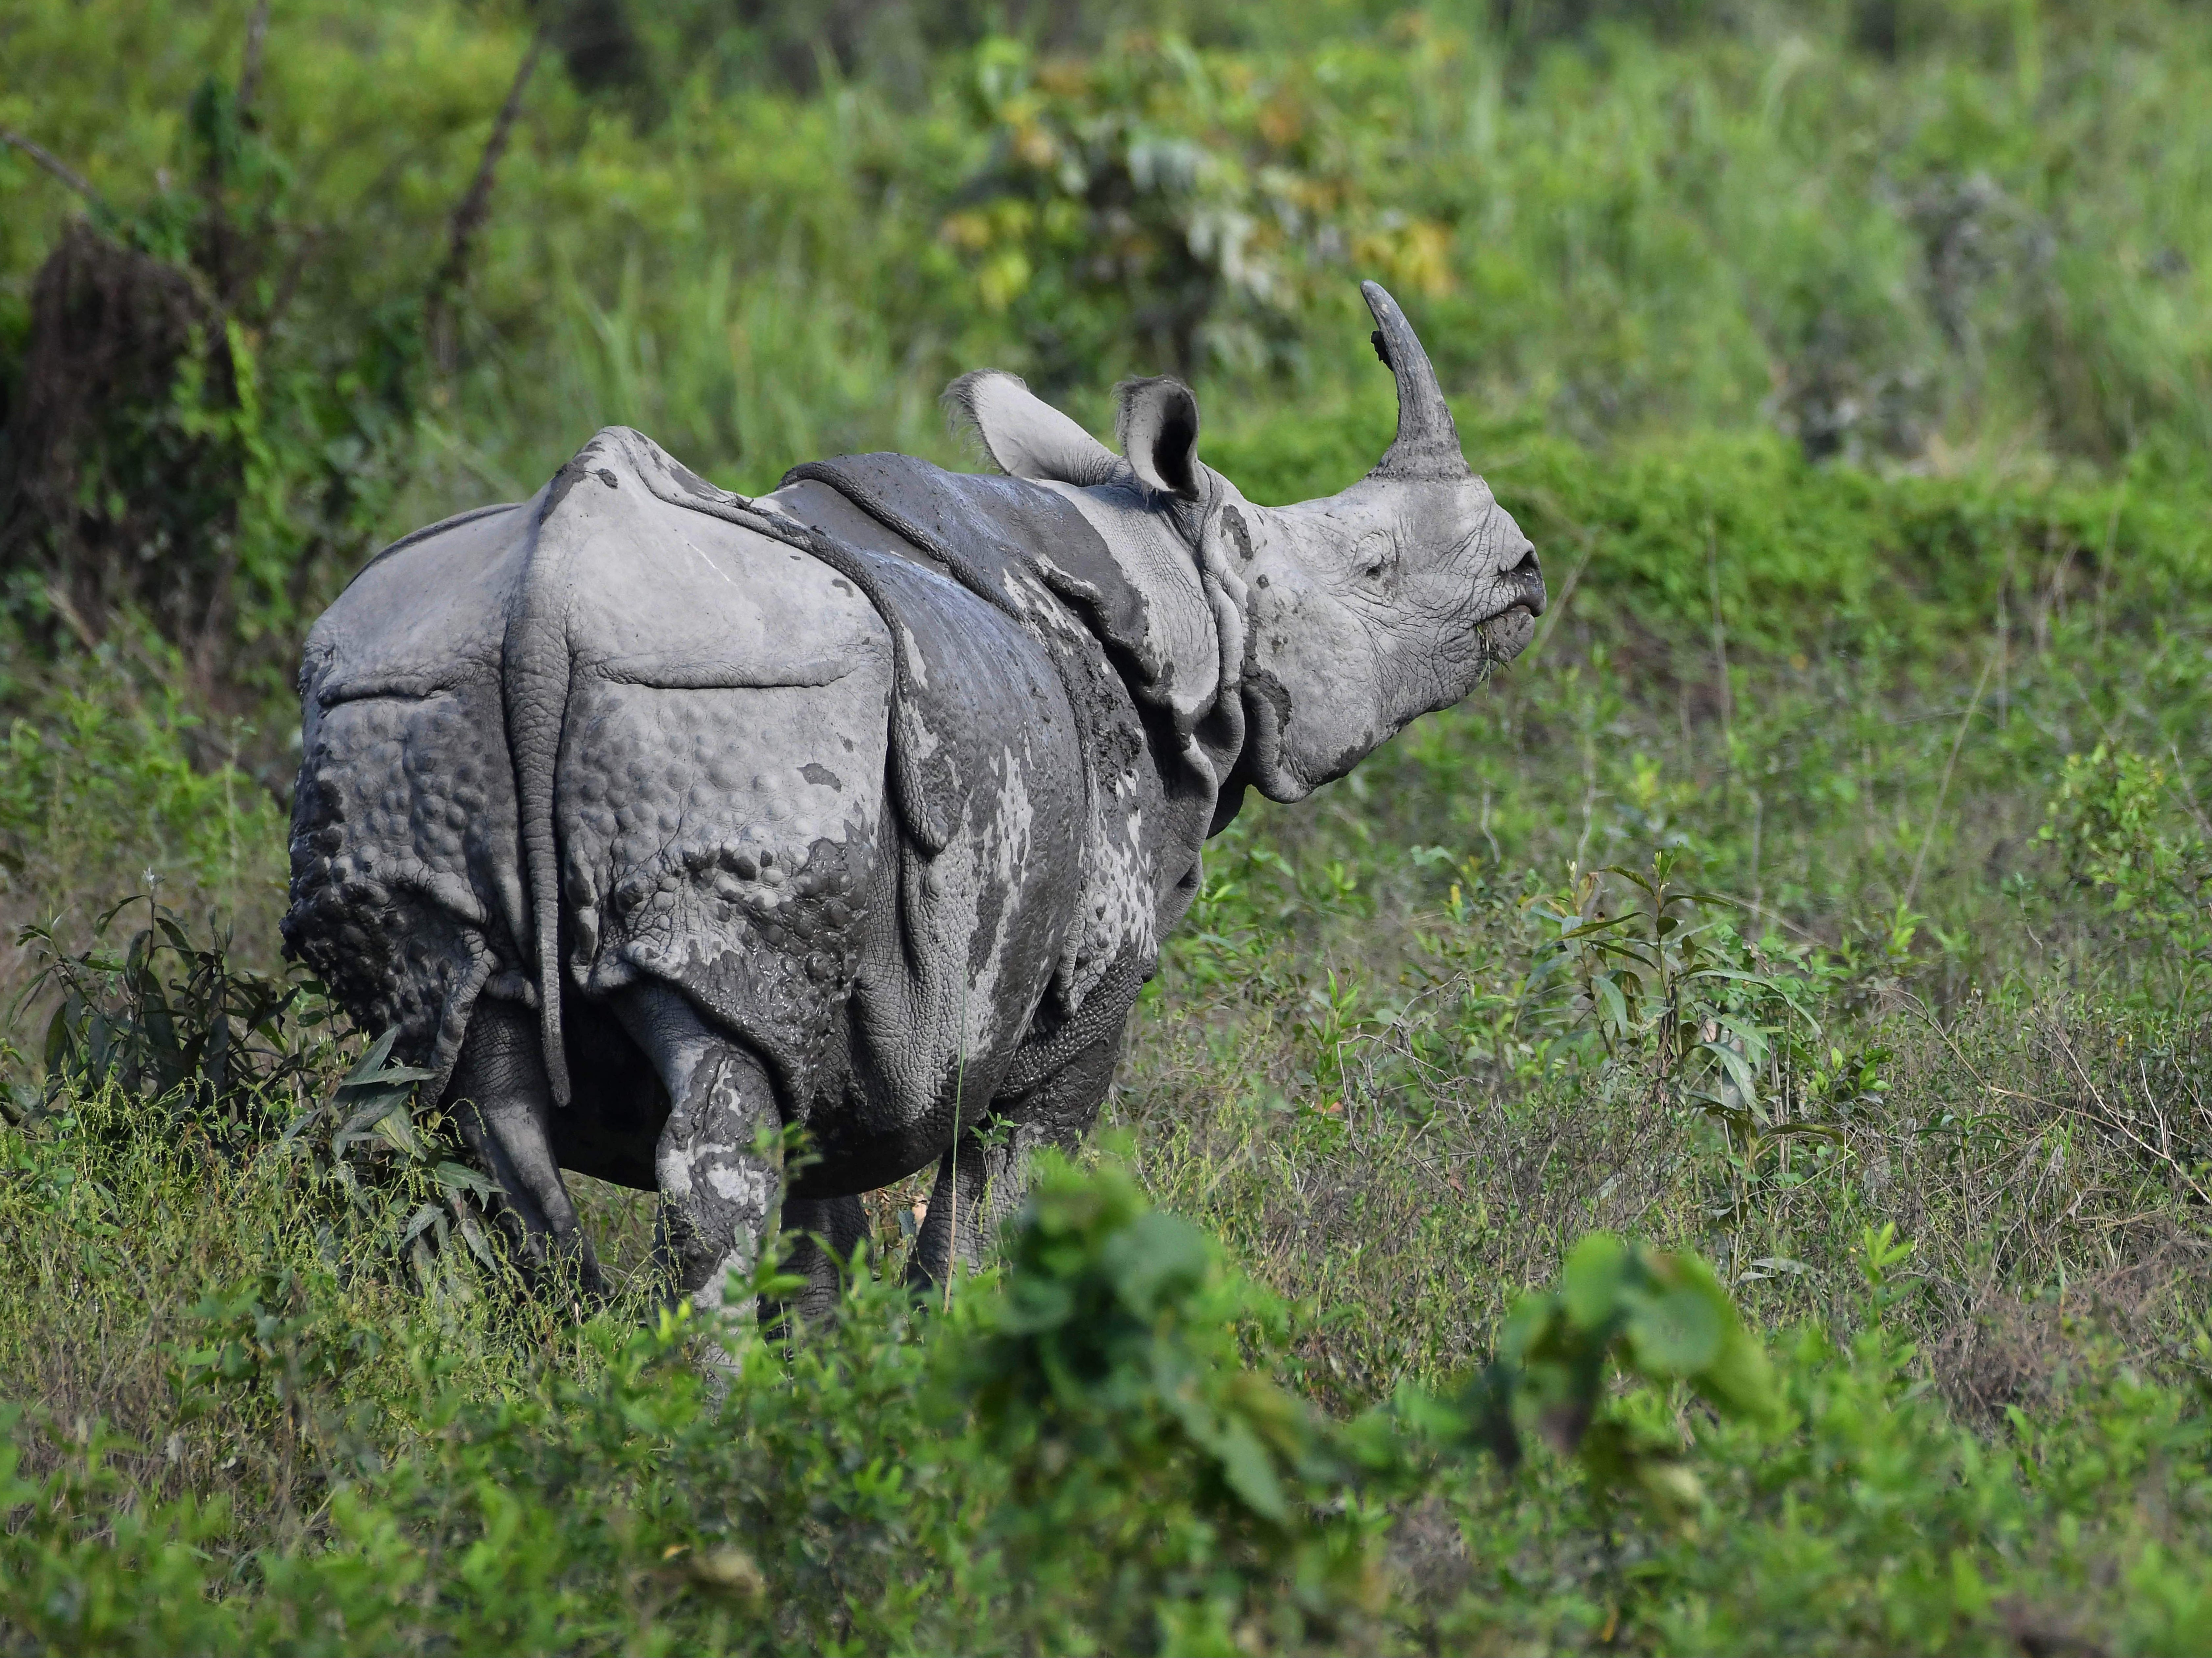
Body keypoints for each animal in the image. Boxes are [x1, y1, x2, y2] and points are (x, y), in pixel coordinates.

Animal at [281, 285, 1539, 1326]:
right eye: (1374, 570)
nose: (1525, 571)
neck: (1180, 579)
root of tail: (544, 597)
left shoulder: (850, 1006)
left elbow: (824, 1214)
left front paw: (835, 1379)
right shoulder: (1080, 984)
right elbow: (998, 1200)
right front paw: (946, 1371)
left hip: (399, 699)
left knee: (470, 1089)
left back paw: (583, 1357)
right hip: (734, 699)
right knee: (709, 1123)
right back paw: (704, 1416)